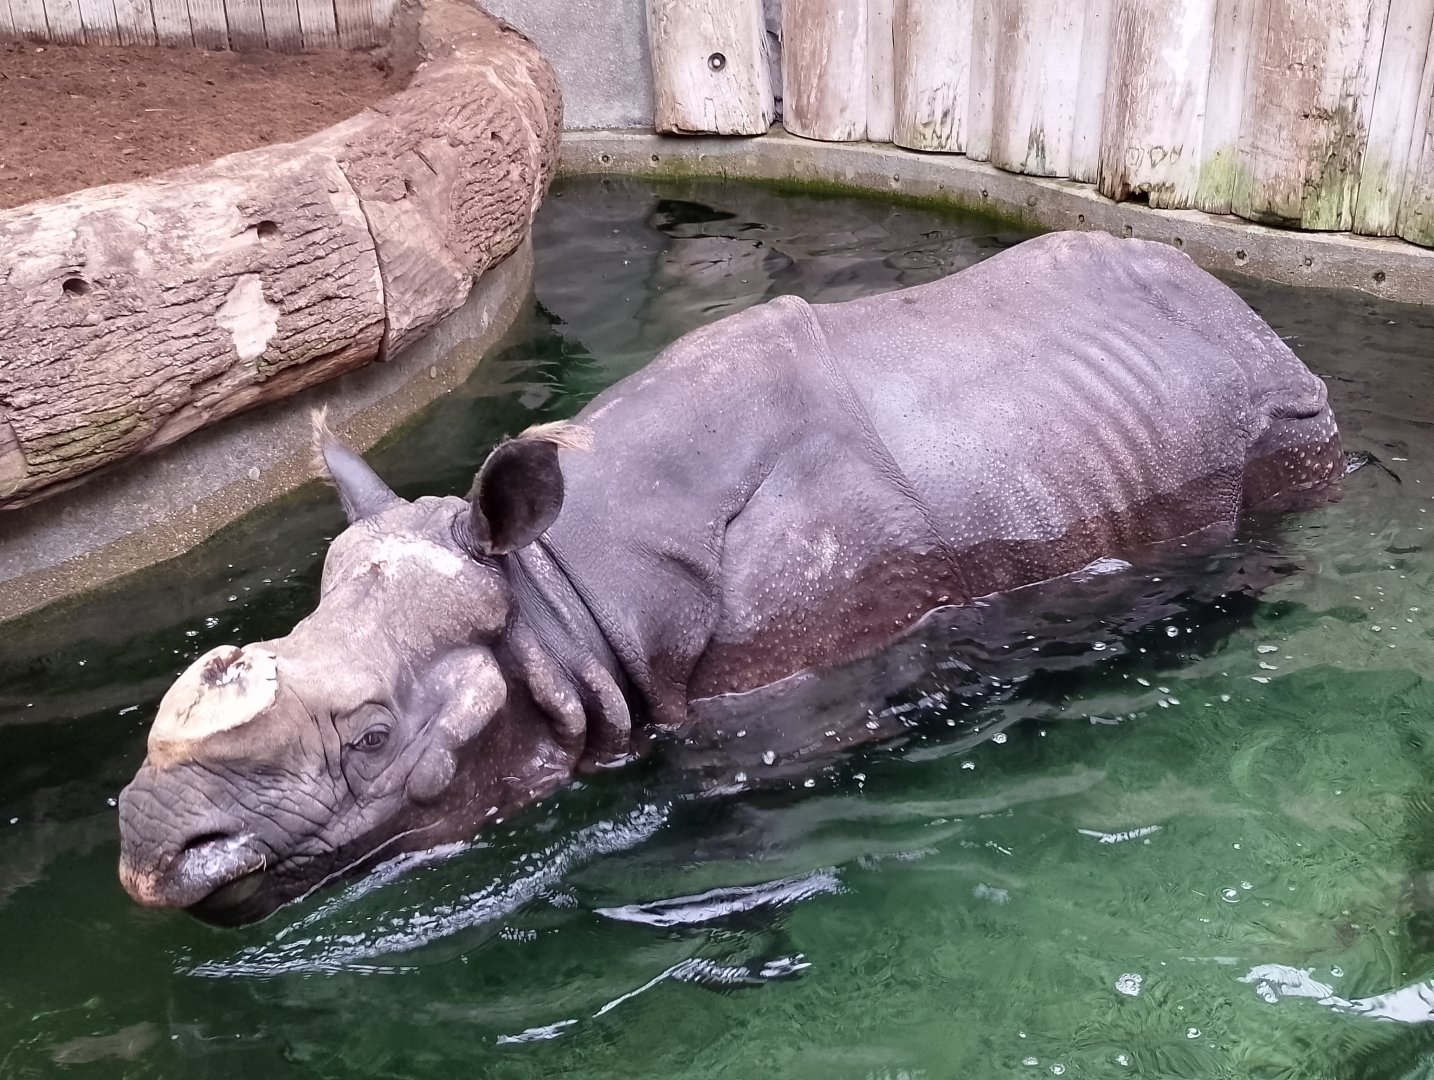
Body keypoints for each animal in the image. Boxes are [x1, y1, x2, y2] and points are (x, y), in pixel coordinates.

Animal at [117, 231, 1344, 924]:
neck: (556, 592)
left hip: (1280, 424)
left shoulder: (788, 696)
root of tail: (1246, 312)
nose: (151, 849)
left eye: (372, 737)